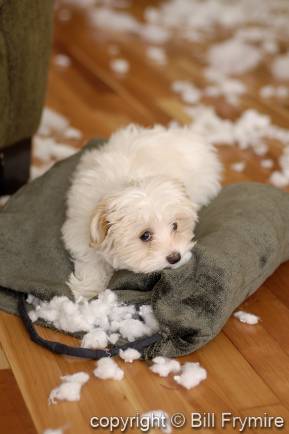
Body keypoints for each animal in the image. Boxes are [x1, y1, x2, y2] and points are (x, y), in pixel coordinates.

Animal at [62, 123, 220, 298]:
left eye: (175, 226)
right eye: (145, 236)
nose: (175, 258)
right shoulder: (79, 229)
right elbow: (91, 260)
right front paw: (89, 289)